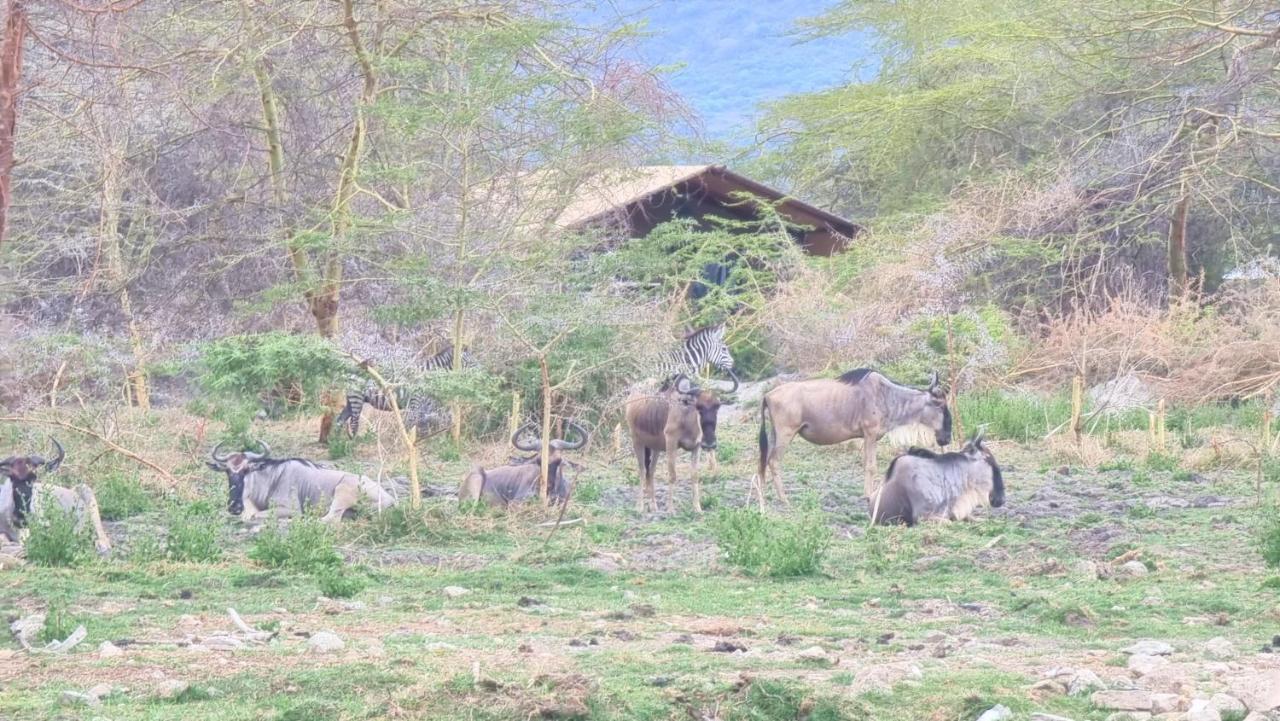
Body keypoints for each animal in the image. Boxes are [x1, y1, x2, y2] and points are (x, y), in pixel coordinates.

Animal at [337, 345, 478, 440]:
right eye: (473, 363)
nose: (481, 376)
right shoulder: (416, 403)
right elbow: (411, 425)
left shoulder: (426, 406)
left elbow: (433, 422)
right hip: (356, 398)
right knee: (353, 423)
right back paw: (352, 444)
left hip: (351, 400)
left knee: (340, 420)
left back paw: (337, 443)